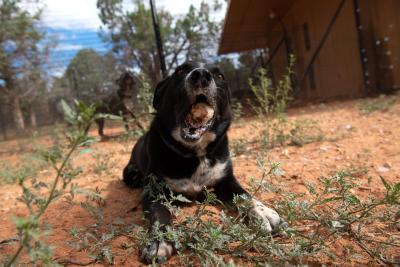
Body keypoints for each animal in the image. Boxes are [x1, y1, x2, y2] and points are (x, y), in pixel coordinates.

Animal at [123, 62, 282, 264]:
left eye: (220, 76)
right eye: (180, 71)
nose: (200, 75)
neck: (194, 153)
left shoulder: (225, 180)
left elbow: (244, 195)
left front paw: (262, 212)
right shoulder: (154, 191)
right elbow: (159, 214)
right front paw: (160, 241)